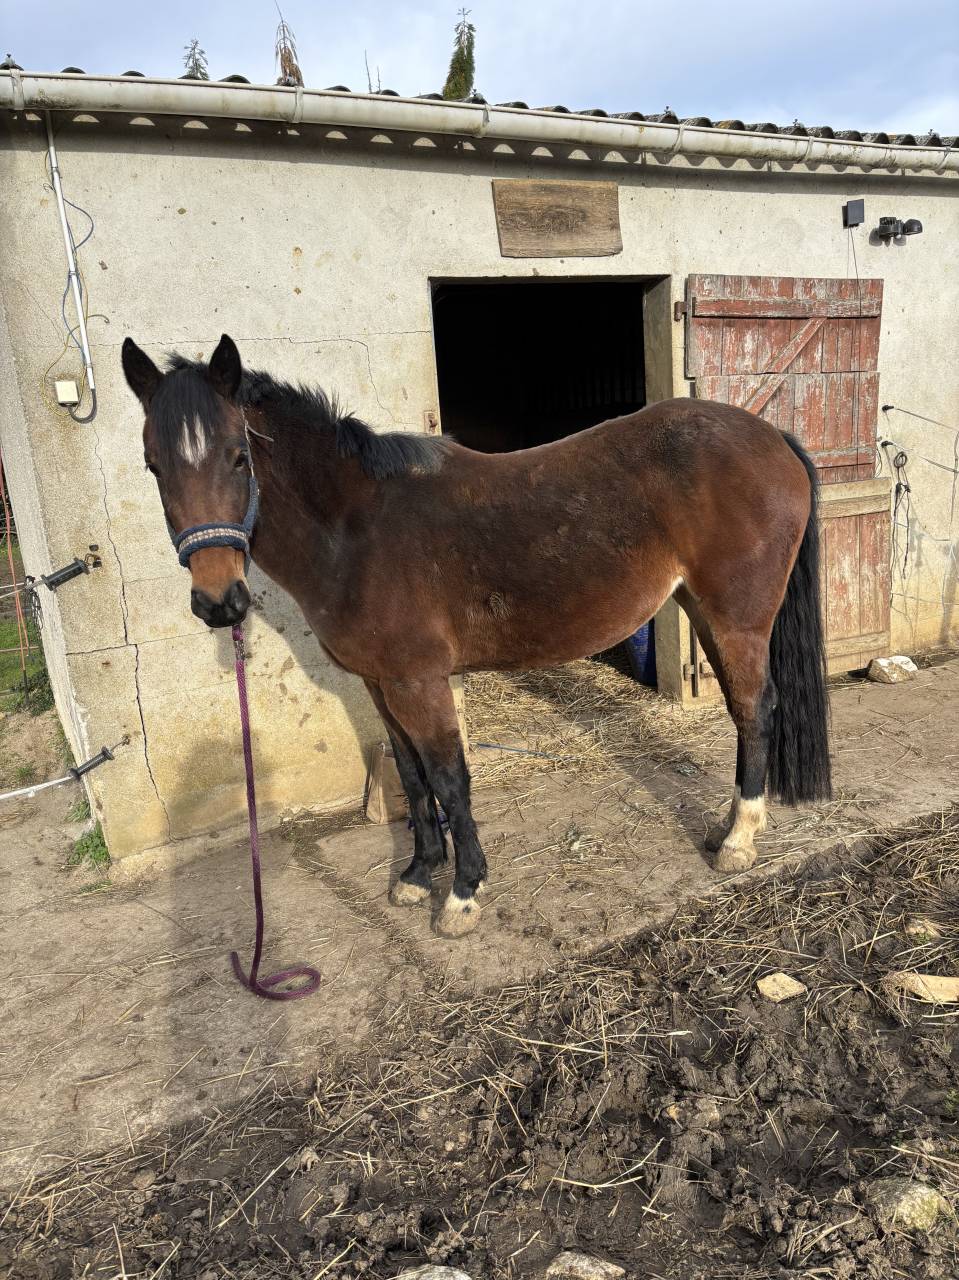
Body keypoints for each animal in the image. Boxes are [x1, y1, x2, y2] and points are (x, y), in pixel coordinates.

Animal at [122, 333, 831, 938]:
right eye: (153, 466)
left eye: (238, 456)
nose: (219, 601)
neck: (355, 530)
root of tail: (773, 436)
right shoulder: (380, 684)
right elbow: (411, 777)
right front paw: (416, 875)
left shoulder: (420, 681)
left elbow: (449, 777)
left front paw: (461, 895)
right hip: (704, 612)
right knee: (744, 711)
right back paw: (725, 830)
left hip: (737, 618)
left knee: (755, 709)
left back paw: (738, 841)